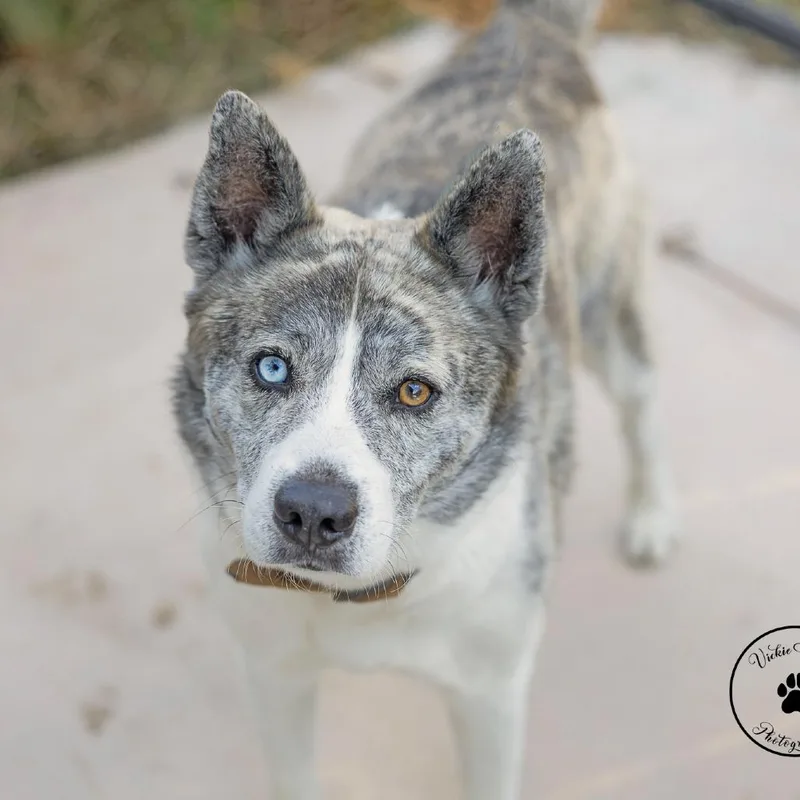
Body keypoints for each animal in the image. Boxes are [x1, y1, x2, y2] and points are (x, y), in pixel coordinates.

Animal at [173, 0, 679, 796]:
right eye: (273, 369)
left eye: (414, 391)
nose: (312, 514)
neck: (364, 595)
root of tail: (532, 29)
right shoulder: (275, 677)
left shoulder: (491, 697)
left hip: (608, 308)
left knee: (641, 396)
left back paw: (653, 513)